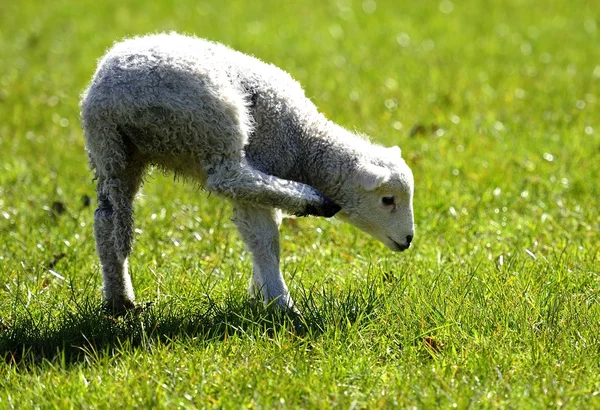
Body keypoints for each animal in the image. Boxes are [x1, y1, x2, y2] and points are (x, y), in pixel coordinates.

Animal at [82, 32, 414, 314]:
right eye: (388, 200)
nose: (409, 239)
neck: (306, 144)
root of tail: (114, 96)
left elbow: (262, 235)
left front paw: (260, 292)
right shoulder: (264, 160)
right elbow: (264, 239)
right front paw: (280, 303)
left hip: (113, 153)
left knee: (107, 220)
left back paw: (120, 300)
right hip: (211, 121)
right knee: (227, 177)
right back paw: (312, 200)